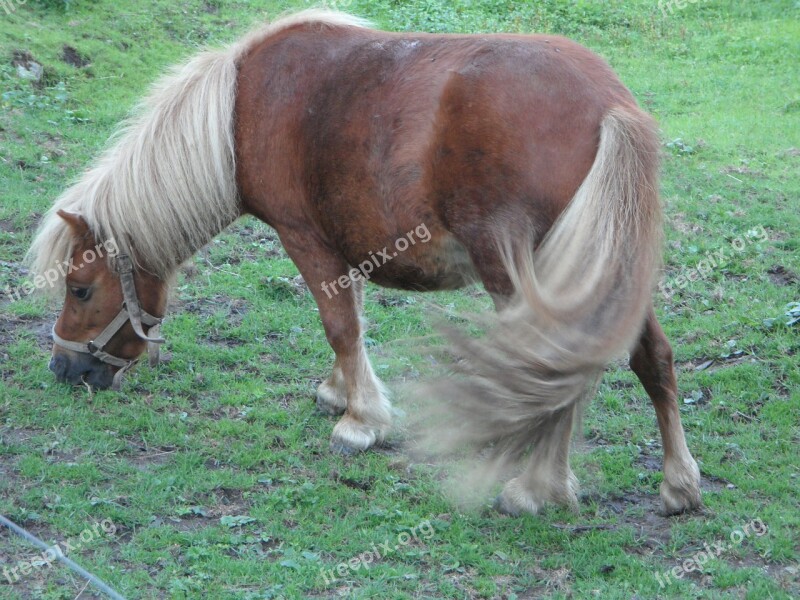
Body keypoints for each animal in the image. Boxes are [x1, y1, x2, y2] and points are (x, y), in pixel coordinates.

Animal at [26, 8, 700, 516]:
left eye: (80, 289)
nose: (63, 368)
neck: (242, 107)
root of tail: (609, 105)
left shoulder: (305, 239)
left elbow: (340, 325)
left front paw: (360, 422)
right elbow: (350, 321)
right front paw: (340, 393)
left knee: (554, 366)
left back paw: (537, 490)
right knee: (651, 358)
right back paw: (677, 483)